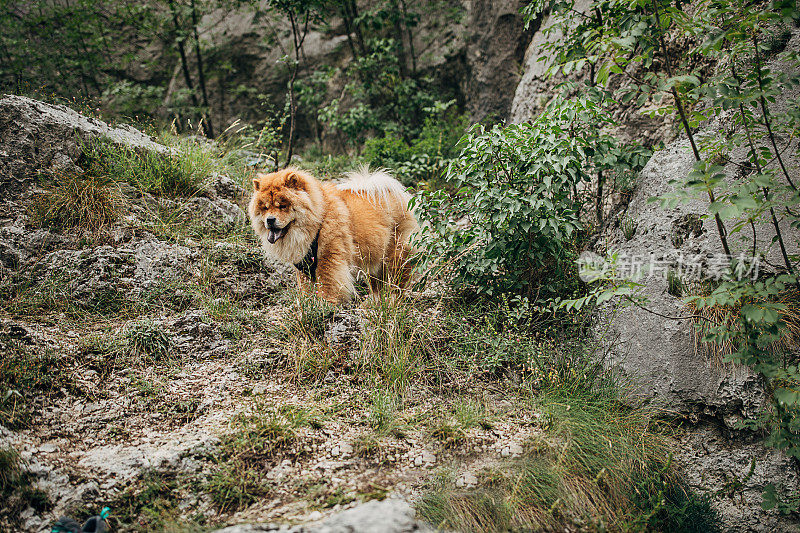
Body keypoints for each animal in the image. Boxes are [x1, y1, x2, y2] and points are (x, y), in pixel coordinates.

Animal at [248, 166, 418, 302]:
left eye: (282, 206)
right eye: (265, 207)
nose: (270, 220)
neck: (318, 220)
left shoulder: (329, 257)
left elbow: (328, 283)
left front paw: (327, 304)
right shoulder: (303, 266)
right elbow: (305, 288)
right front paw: (306, 304)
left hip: (395, 252)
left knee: (398, 277)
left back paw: (392, 298)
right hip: (375, 257)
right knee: (377, 283)